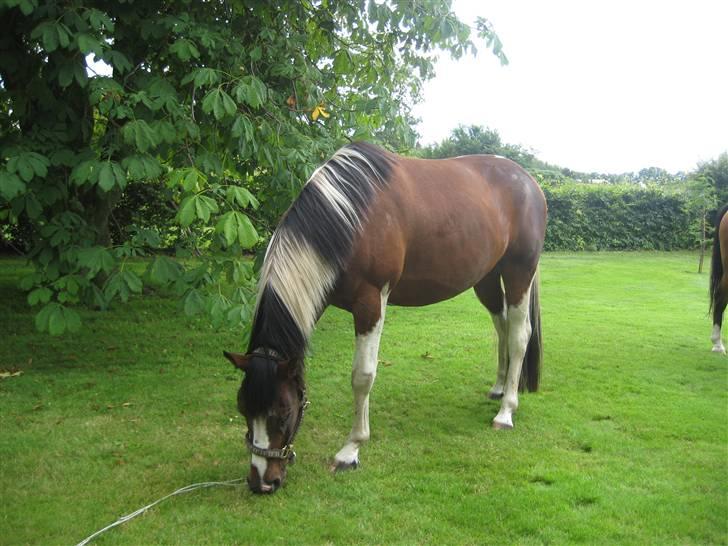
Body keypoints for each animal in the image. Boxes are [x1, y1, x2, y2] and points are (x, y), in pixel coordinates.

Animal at [225, 142, 548, 490]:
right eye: (243, 407)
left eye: (283, 412)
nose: (262, 482)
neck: (351, 217)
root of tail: (528, 181)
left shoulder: (371, 302)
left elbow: (362, 376)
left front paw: (351, 450)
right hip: (486, 278)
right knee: (502, 327)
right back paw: (499, 387)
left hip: (518, 272)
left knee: (518, 336)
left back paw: (506, 411)